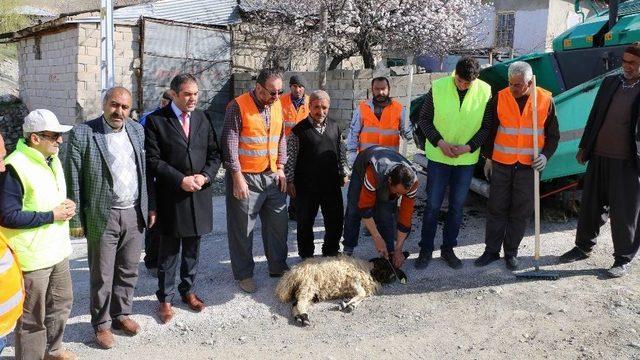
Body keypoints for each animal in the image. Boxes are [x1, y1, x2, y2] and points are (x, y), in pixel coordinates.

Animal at [274, 253, 404, 326]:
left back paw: (299, 318)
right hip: (308, 284)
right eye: (386, 265)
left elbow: (363, 296)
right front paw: (345, 304)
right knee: (300, 302)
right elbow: (362, 294)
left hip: (309, 291)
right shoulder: (353, 280)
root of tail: (288, 277)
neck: (369, 269)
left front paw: (351, 305)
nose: (394, 277)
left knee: (295, 304)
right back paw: (304, 318)